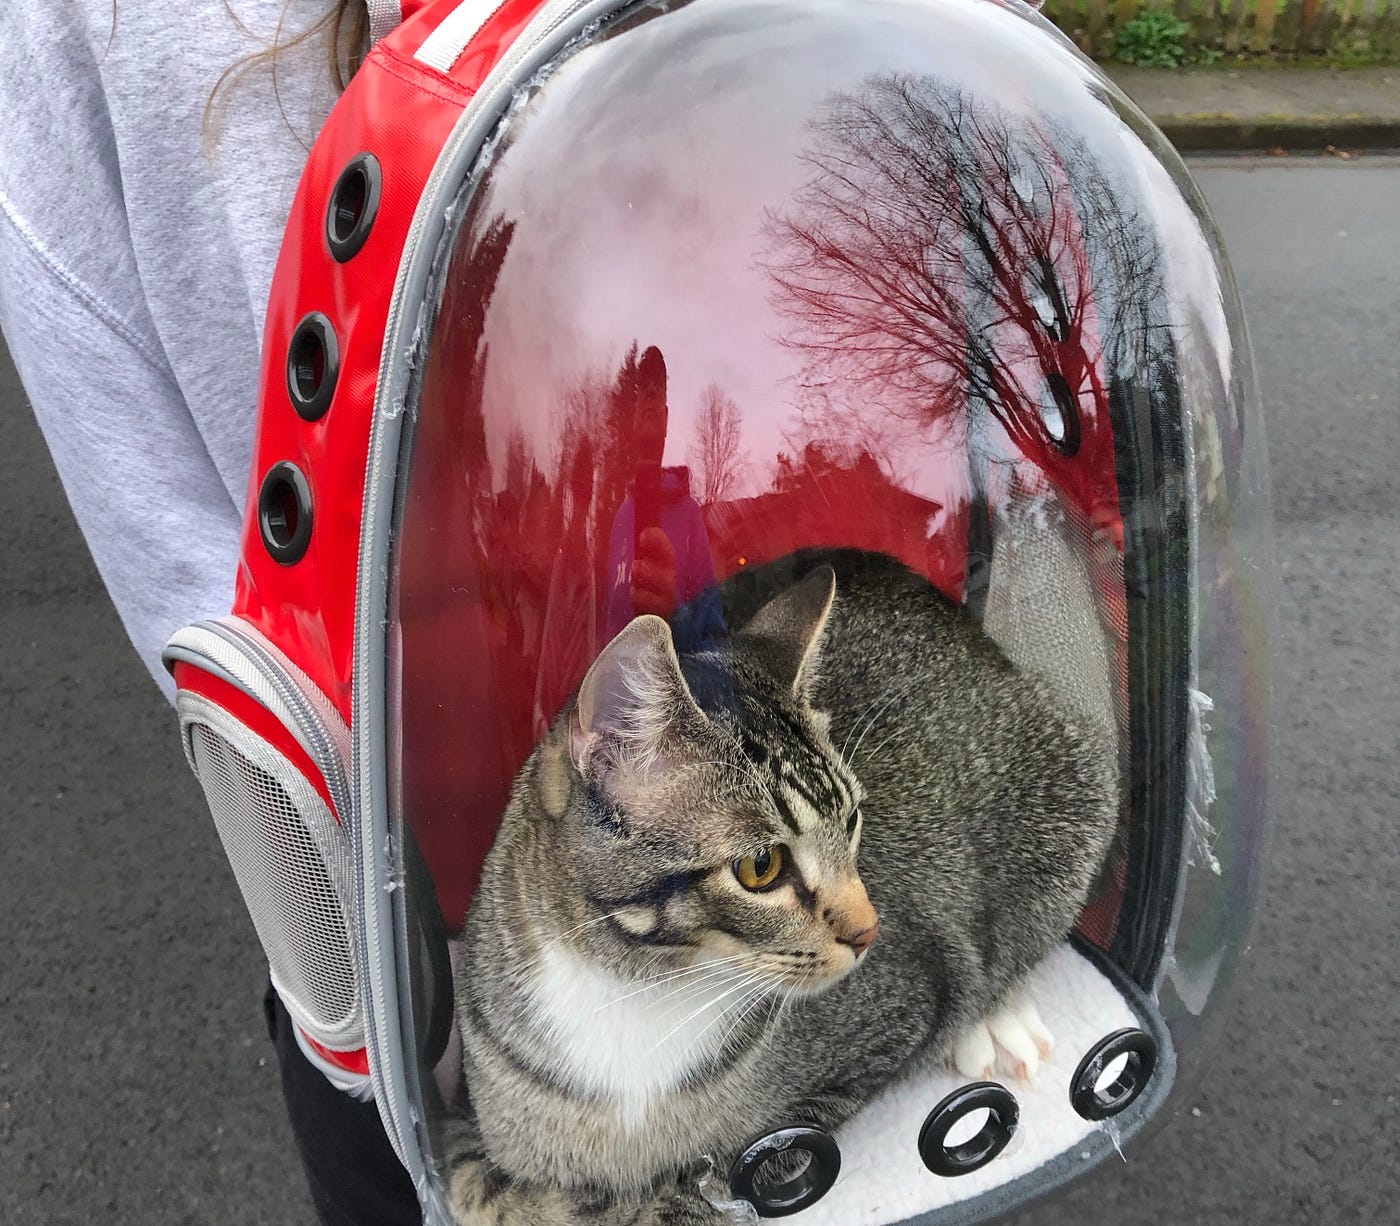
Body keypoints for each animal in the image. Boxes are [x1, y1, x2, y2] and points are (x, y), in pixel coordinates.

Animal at [448, 548, 1114, 1226]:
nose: (869, 931)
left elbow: (727, 1174)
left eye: (853, 819)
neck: (634, 987)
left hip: (1076, 787)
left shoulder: (883, 1032)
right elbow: (479, 1182)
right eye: (761, 867)